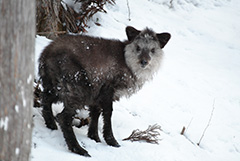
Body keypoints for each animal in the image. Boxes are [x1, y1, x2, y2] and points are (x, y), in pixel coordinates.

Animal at [38, 26, 171, 156]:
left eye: (153, 50)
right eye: (138, 47)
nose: (144, 62)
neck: (126, 61)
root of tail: (46, 53)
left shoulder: (97, 93)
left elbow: (95, 113)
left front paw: (94, 137)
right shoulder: (107, 89)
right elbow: (107, 114)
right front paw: (111, 141)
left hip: (54, 87)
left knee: (45, 99)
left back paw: (51, 125)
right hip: (79, 89)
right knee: (63, 117)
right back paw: (78, 149)